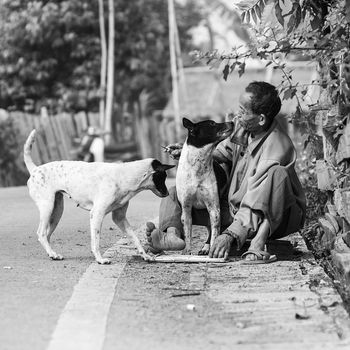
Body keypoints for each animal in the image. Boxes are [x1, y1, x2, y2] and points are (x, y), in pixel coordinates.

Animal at [23, 130, 174, 264]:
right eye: (163, 177)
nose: (167, 193)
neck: (124, 175)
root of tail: (35, 169)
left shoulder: (119, 218)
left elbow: (135, 238)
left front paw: (145, 256)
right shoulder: (97, 214)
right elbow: (96, 240)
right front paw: (100, 259)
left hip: (57, 211)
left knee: (47, 234)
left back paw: (52, 254)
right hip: (47, 207)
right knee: (41, 233)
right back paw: (52, 253)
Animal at [178, 117, 232, 254]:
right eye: (212, 123)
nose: (232, 122)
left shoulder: (214, 208)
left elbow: (215, 233)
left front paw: (212, 247)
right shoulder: (186, 208)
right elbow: (187, 233)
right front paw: (187, 251)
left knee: (211, 229)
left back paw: (206, 247)